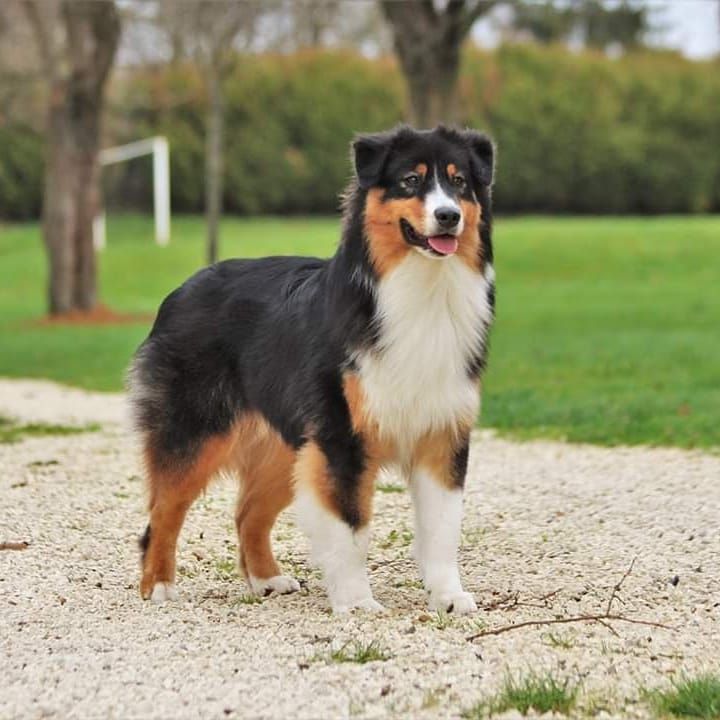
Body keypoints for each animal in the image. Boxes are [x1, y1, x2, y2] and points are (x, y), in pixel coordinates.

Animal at [128, 124, 496, 612]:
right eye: (410, 181)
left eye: (459, 183)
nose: (448, 216)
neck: (421, 289)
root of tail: (182, 288)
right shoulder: (343, 435)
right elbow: (352, 526)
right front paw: (357, 603)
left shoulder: (442, 432)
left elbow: (443, 528)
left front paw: (449, 596)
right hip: (197, 429)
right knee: (163, 509)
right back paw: (158, 586)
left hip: (290, 444)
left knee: (247, 512)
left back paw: (266, 579)